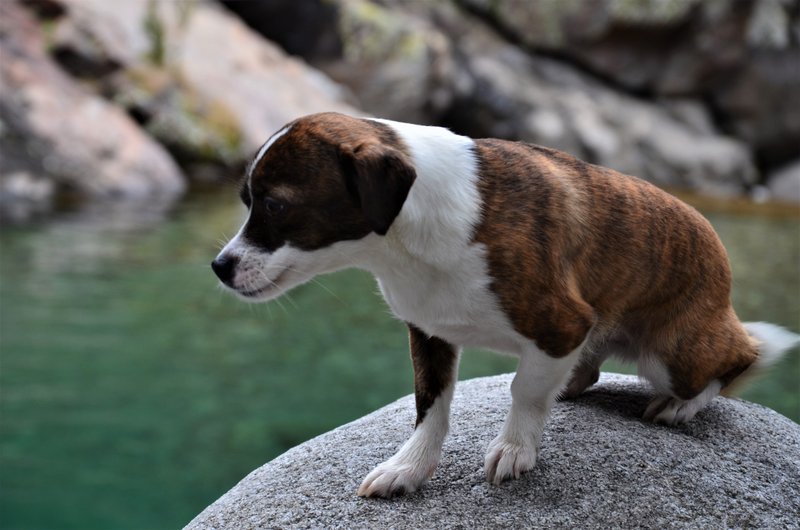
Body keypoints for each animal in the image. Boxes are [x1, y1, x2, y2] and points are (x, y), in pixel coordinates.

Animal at [212, 110, 800, 496]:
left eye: (274, 205)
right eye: (246, 201)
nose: (219, 266)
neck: (406, 238)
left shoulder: (561, 325)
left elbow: (523, 390)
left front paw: (516, 449)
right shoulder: (429, 332)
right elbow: (430, 406)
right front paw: (410, 468)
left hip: (673, 355)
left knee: (739, 359)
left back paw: (683, 405)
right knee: (587, 373)